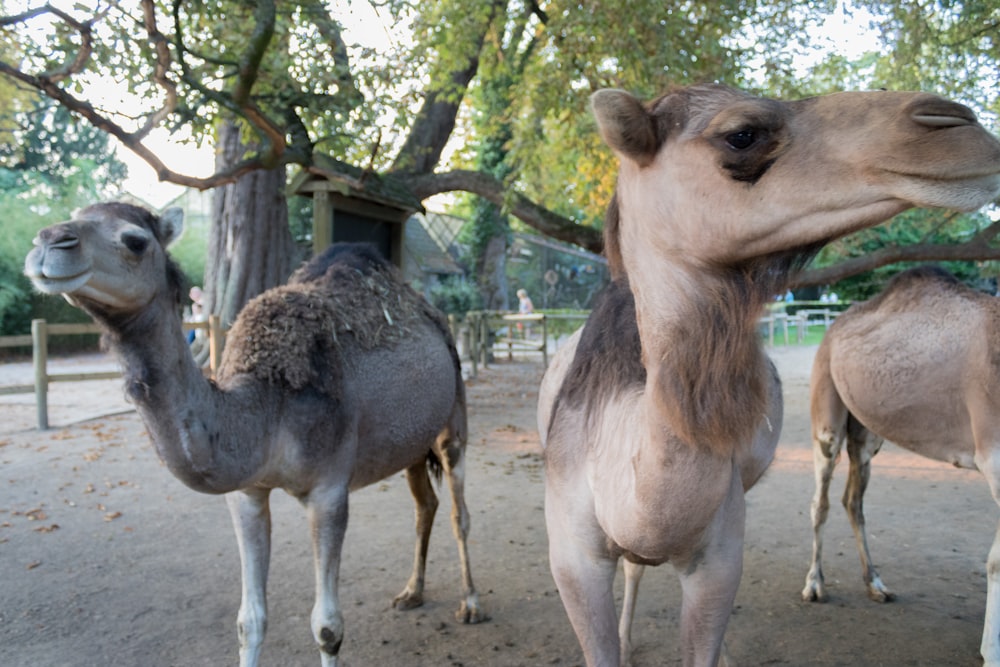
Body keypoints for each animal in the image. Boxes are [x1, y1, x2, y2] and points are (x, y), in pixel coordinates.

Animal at [23, 204, 484, 667]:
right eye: (76, 215)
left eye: (135, 241)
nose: (48, 242)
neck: (266, 405)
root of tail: (433, 316)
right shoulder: (245, 493)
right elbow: (250, 621)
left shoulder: (329, 492)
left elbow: (327, 627)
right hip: (410, 443)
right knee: (424, 506)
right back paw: (411, 592)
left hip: (453, 417)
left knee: (459, 511)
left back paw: (471, 604)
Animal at [800, 266, 1000, 667]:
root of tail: (833, 326)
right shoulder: (995, 454)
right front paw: (991, 653)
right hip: (826, 406)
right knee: (821, 500)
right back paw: (814, 584)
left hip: (868, 432)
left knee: (852, 500)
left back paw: (876, 584)